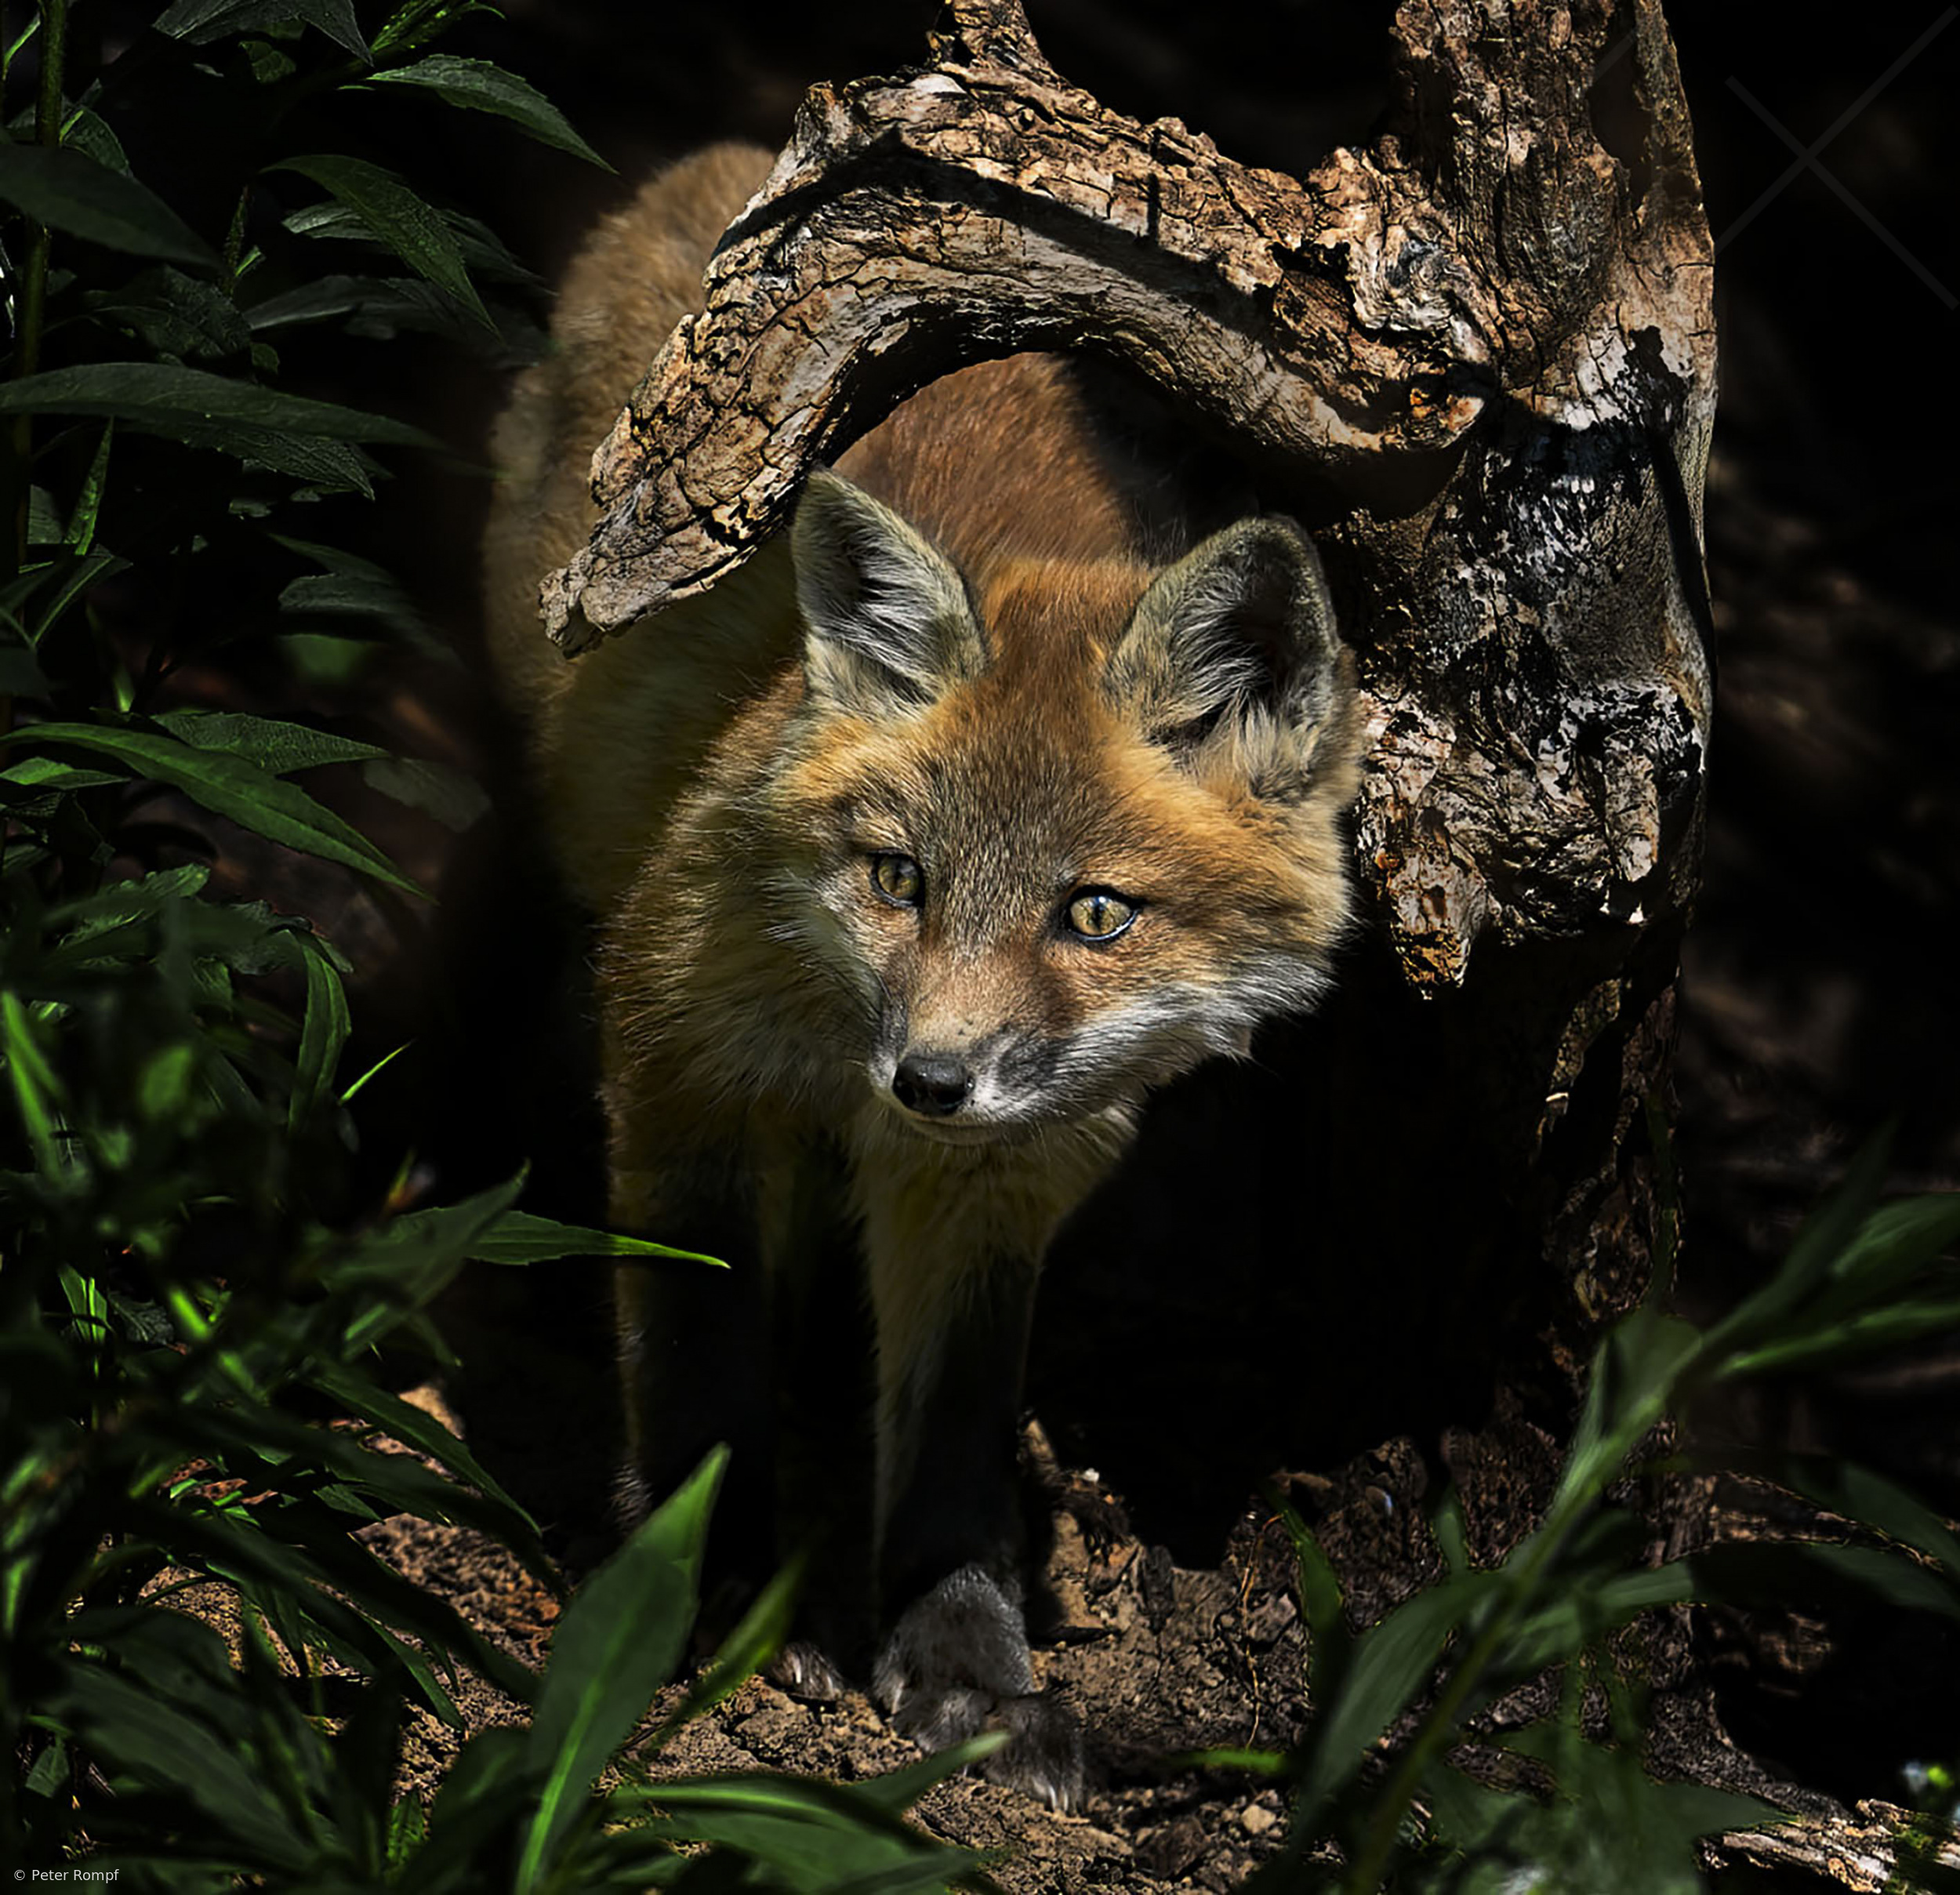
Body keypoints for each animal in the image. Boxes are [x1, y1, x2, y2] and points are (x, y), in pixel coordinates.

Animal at [483, 143, 1364, 1807]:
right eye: (903, 879)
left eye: (1096, 914)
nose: (933, 1078)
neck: (840, 1040)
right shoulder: (683, 1064)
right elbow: (697, 1360)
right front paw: (700, 1592)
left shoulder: (1001, 1176)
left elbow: (954, 1429)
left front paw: (964, 1667)